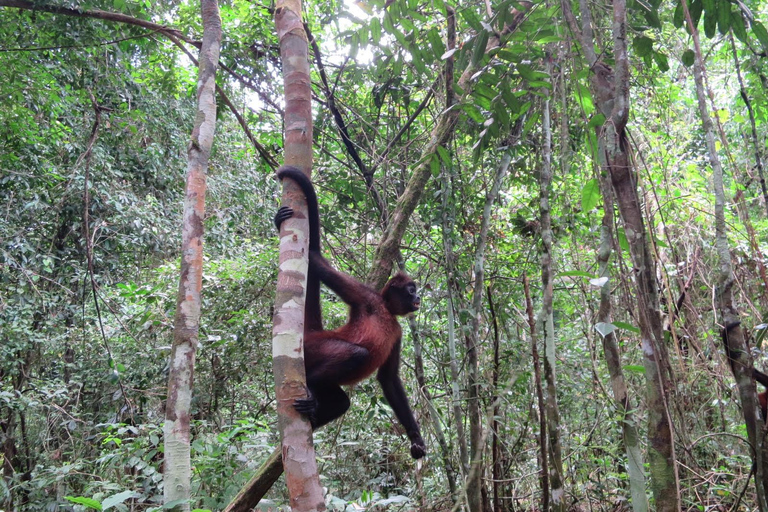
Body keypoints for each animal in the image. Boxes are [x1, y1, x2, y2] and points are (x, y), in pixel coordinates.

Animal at [274, 166, 426, 458]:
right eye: (411, 289)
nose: (418, 298)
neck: (386, 311)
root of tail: (315, 334)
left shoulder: (398, 331)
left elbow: (389, 379)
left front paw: (416, 438)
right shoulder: (366, 296)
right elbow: (317, 261)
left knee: (342, 402)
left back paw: (315, 413)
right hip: (316, 349)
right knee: (357, 354)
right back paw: (312, 389)